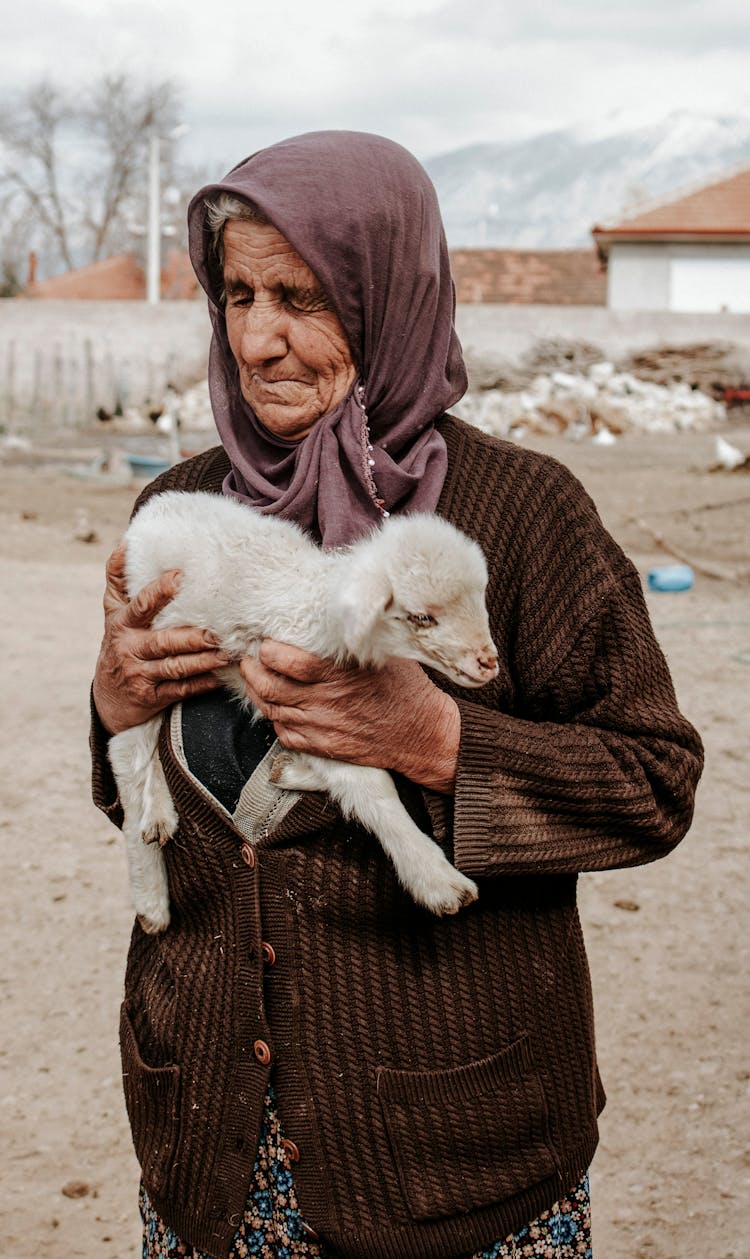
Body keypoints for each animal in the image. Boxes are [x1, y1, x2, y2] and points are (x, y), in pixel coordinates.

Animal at [110, 493, 498, 936]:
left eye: (480, 598)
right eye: (422, 617)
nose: (489, 663)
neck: (317, 607)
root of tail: (156, 505)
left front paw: (291, 771)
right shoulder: (297, 703)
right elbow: (371, 787)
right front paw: (436, 879)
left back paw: (159, 815)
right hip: (146, 652)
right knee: (128, 750)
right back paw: (151, 891)